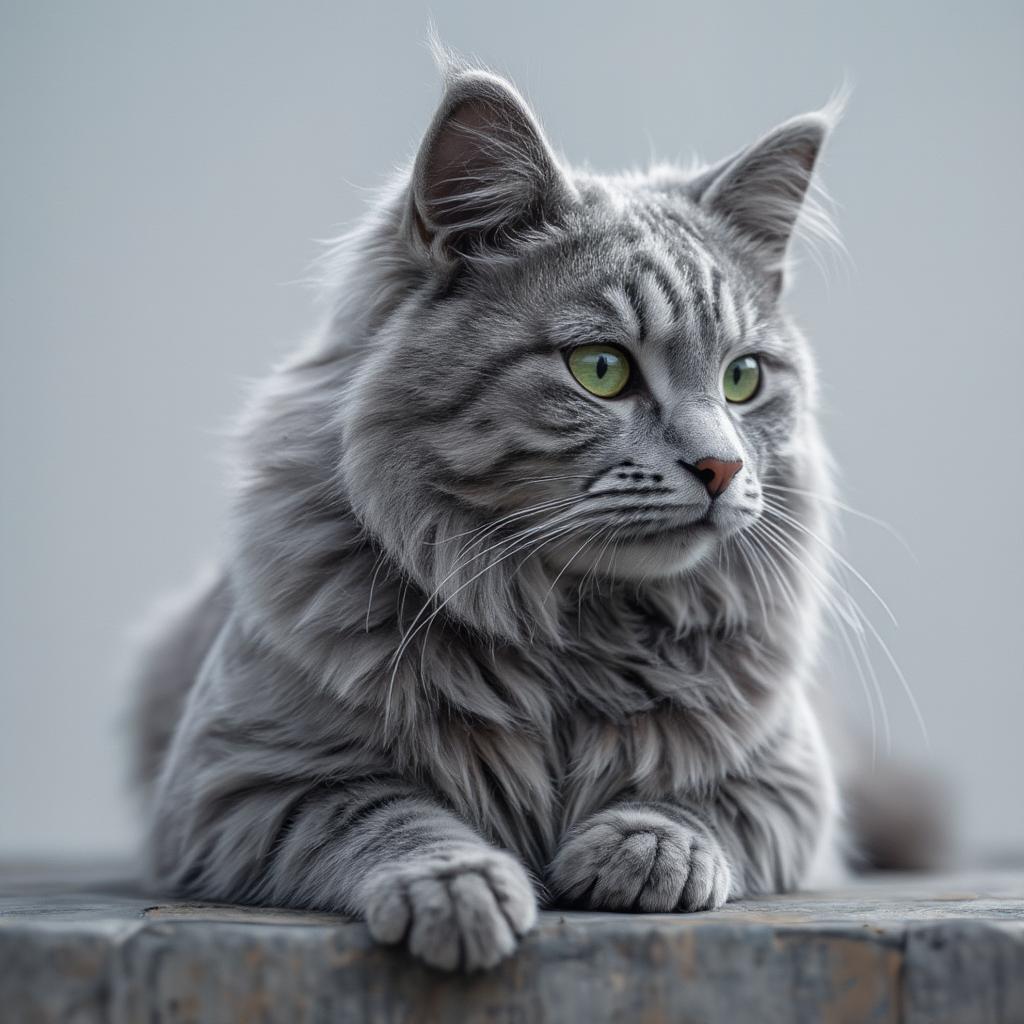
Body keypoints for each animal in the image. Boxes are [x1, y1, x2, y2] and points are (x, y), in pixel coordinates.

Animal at [130, 54, 847, 966]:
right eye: (602, 369)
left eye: (743, 379)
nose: (721, 467)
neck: (575, 625)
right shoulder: (239, 781)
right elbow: (382, 811)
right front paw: (456, 886)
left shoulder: (790, 782)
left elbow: (697, 799)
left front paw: (648, 847)